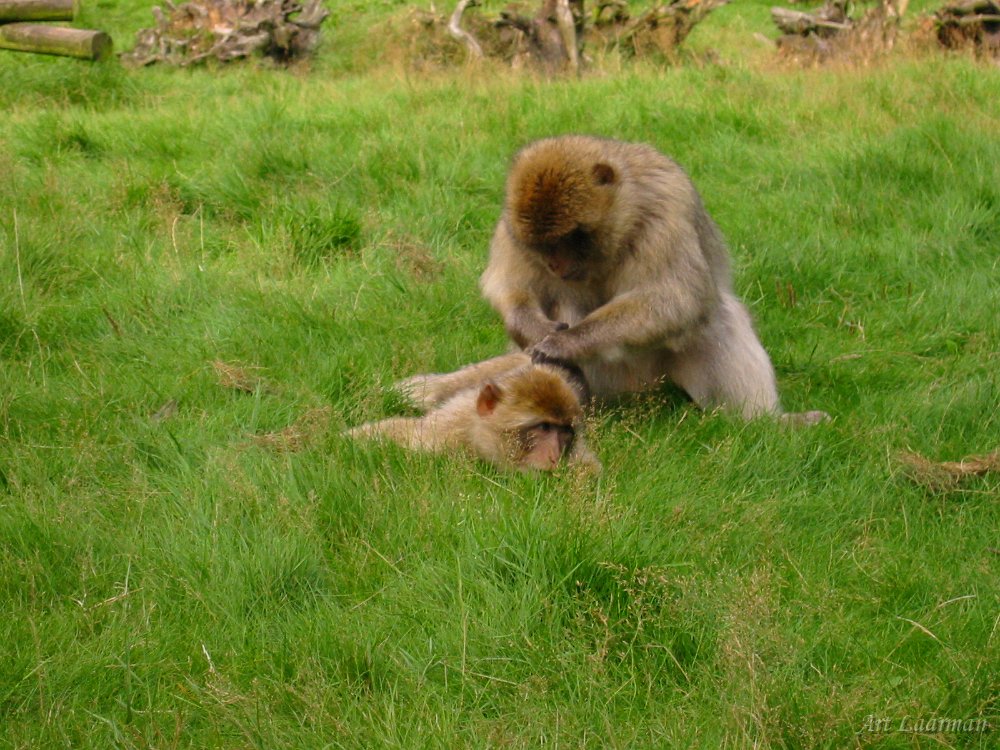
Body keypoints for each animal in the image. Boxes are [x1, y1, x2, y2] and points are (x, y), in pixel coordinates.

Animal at [477, 135, 827, 424]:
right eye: (543, 245)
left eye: (573, 237)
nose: (554, 263)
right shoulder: (511, 226)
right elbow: (508, 286)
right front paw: (533, 329)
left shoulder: (666, 211)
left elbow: (674, 298)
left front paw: (564, 343)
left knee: (714, 316)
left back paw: (765, 423)